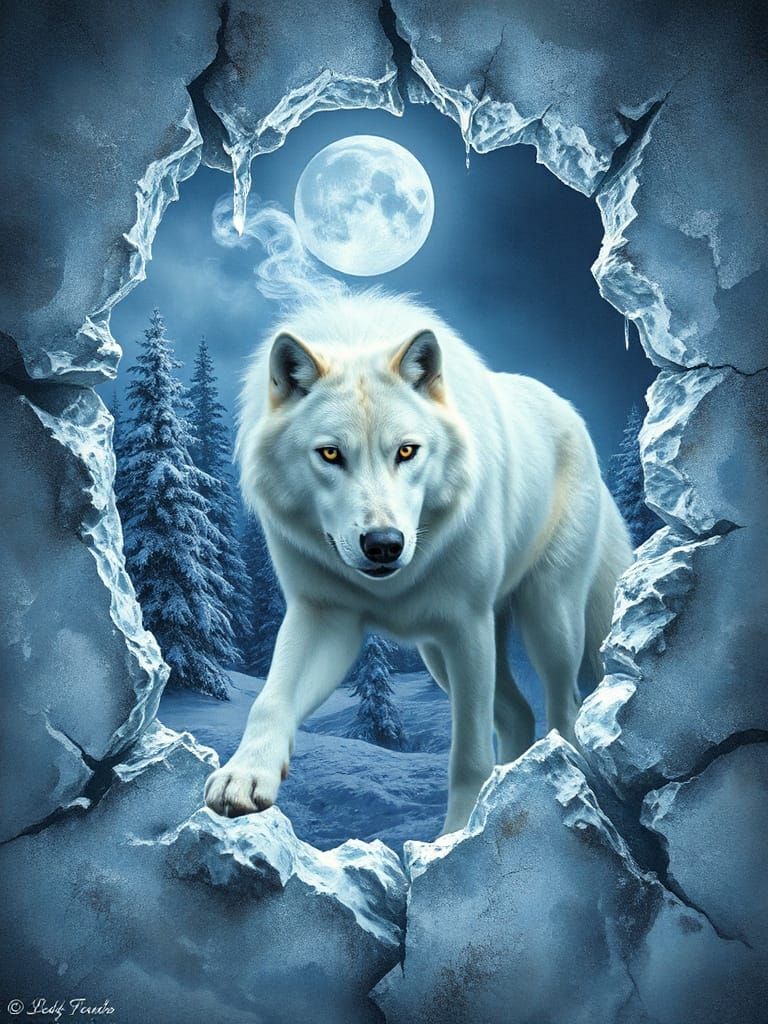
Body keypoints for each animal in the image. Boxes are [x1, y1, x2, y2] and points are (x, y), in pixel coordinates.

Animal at [204, 290, 633, 834]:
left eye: (407, 451)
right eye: (330, 454)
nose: (384, 544)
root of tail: (570, 412)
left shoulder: (466, 628)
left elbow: (468, 756)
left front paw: (456, 836)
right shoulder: (323, 616)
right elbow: (269, 700)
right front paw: (244, 776)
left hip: (548, 620)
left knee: (565, 706)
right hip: (439, 655)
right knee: (518, 713)